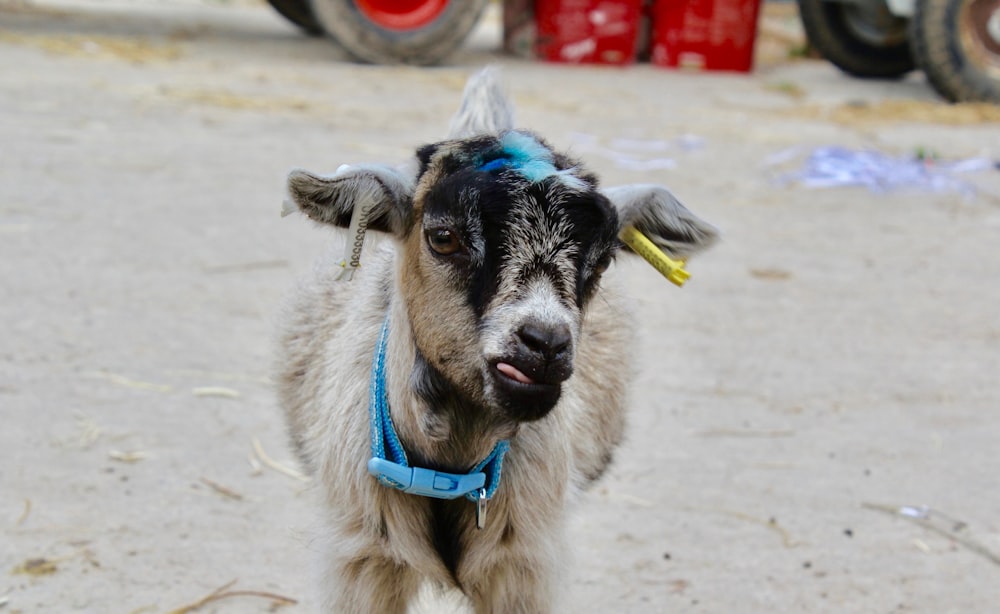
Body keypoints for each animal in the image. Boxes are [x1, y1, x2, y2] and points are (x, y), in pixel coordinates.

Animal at [280, 70, 720, 612]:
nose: (545, 344)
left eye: (601, 262)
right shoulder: (362, 559)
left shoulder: (523, 564)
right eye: (442, 237)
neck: (449, 467)